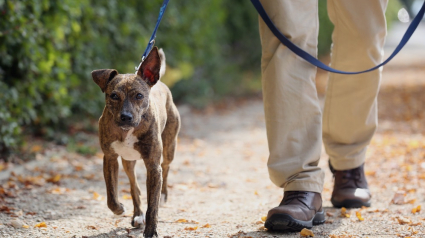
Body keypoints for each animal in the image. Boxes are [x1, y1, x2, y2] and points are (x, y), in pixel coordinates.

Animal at [91, 47, 179, 237]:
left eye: (139, 95)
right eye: (114, 95)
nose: (126, 117)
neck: (127, 131)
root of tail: (159, 82)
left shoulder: (153, 166)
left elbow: (152, 206)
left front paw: (151, 230)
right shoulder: (110, 158)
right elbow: (111, 195)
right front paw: (119, 209)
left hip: (169, 148)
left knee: (166, 167)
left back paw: (163, 195)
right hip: (128, 162)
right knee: (134, 187)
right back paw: (137, 215)